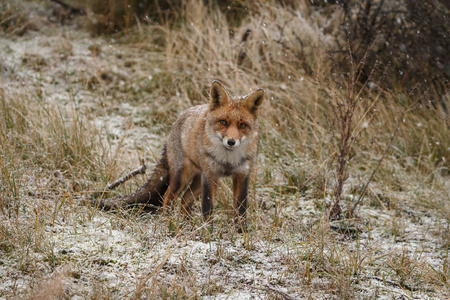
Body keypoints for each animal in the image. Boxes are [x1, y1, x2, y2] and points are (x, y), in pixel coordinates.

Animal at [95, 80, 264, 230]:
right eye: (223, 122)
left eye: (242, 125)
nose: (231, 141)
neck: (228, 160)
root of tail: (176, 122)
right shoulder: (210, 175)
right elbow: (207, 207)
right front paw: (208, 233)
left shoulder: (242, 174)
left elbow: (240, 209)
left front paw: (241, 232)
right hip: (182, 176)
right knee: (168, 198)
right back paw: (170, 224)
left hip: (199, 181)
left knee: (184, 201)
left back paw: (188, 226)